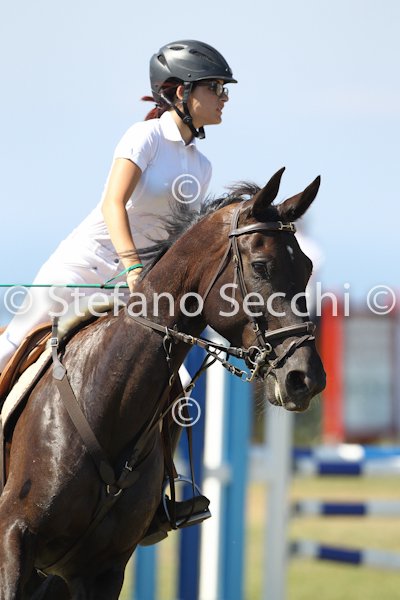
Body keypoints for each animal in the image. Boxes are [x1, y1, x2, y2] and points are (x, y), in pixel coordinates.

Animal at [0, 168, 326, 599]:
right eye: (261, 266)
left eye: (307, 267)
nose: (307, 378)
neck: (105, 402)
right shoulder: (14, 539)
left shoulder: (101, 570)